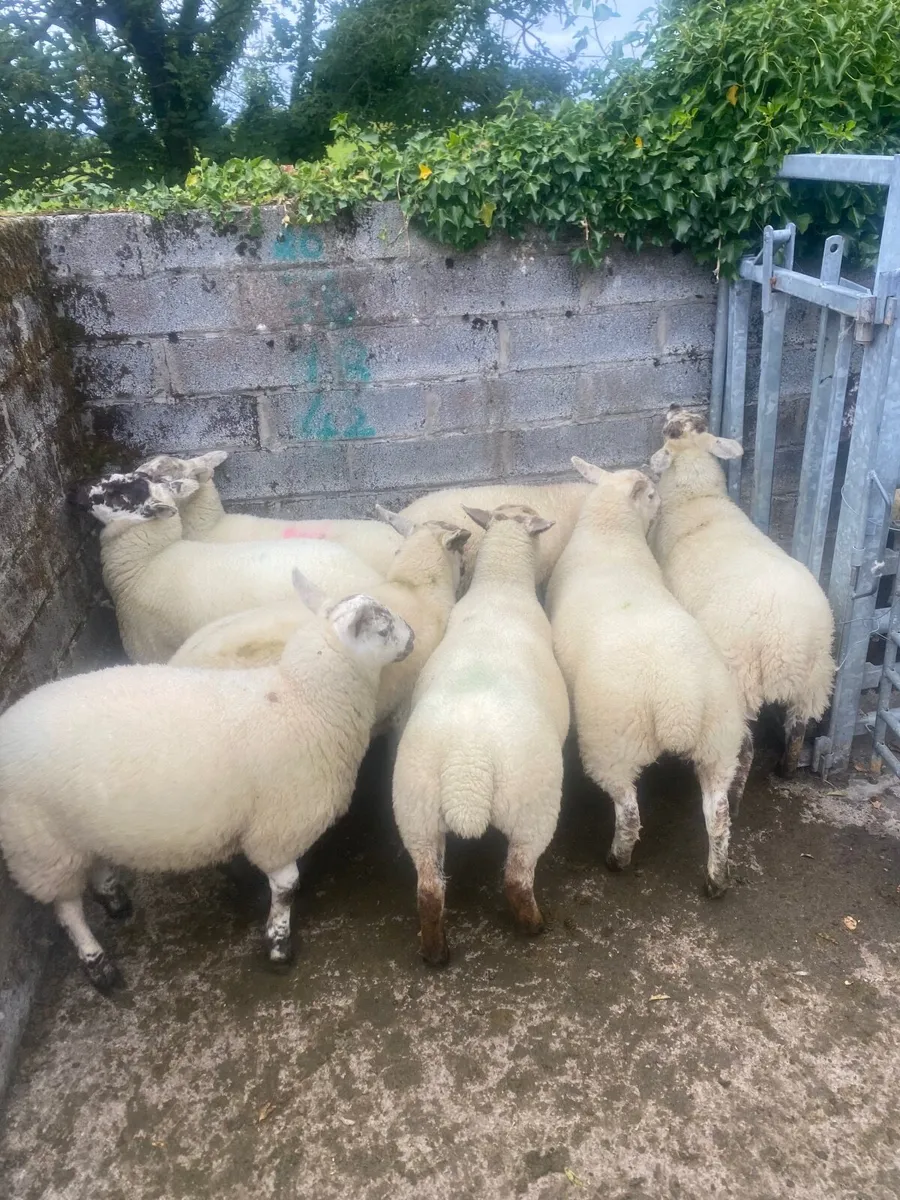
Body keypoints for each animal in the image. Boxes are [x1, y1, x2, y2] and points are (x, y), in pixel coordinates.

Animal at [0, 571, 414, 992]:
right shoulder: (279, 827)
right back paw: (98, 964)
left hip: (73, 830)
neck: (304, 700)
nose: (412, 637)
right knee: (67, 908)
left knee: (93, 864)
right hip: (38, 845)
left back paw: (114, 899)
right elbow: (286, 886)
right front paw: (279, 944)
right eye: (382, 629)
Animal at [392, 503, 570, 965]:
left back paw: (435, 951)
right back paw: (533, 925)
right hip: (533, 809)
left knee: (429, 889)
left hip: (416, 811)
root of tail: (466, 764)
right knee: (517, 879)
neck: (501, 585)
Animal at [545, 458, 749, 897]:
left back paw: (617, 859)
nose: (661, 508)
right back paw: (717, 879)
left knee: (629, 813)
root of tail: (679, 705)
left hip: (612, 745)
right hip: (719, 740)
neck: (609, 536)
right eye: (652, 494)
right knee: (718, 815)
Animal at [648, 405, 835, 777]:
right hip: (815, 678)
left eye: (670, 431)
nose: (674, 406)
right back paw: (785, 769)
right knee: (798, 727)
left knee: (745, 749)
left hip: (739, 680)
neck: (696, 497)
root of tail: (785, 642)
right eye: (696, 422)